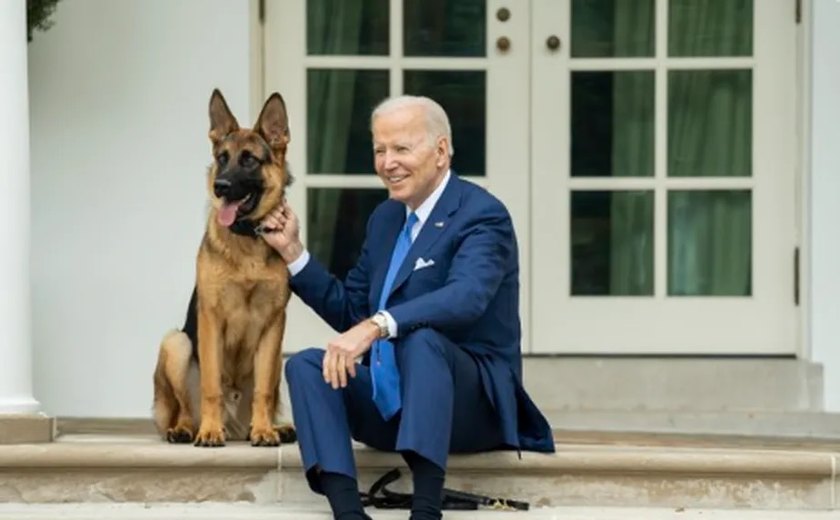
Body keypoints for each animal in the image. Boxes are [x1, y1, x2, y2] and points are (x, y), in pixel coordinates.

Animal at [154, 90, 298, 446]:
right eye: (222, 158)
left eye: (249, 160)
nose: (220, 186)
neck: (246, 240)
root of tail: (234, 426)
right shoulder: (210, 320)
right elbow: (210, 386)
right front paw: (209, 431)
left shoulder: (274, 325)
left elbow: (263, 392)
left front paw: (264, 431)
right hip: (176, 344)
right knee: (185, 408)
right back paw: (188, 429)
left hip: (278, 358)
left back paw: (271, 427)